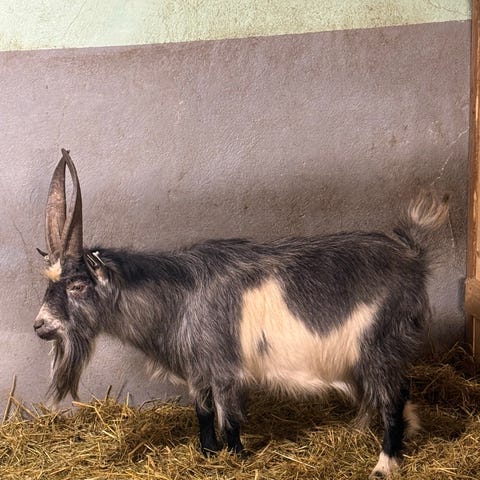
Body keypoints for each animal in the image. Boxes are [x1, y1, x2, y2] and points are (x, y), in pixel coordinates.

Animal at [34, 149, 448, 478]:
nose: (40, 326)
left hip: (380, 345)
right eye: (49, 283)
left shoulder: (224, 368)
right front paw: (207, 454)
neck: (178, 296)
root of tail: (412, 254)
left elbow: (229, 417)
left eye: (77, 285)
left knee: (393, 396)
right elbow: (202, 412)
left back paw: (385, 464)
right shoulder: (199, 370)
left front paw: (235, 456)